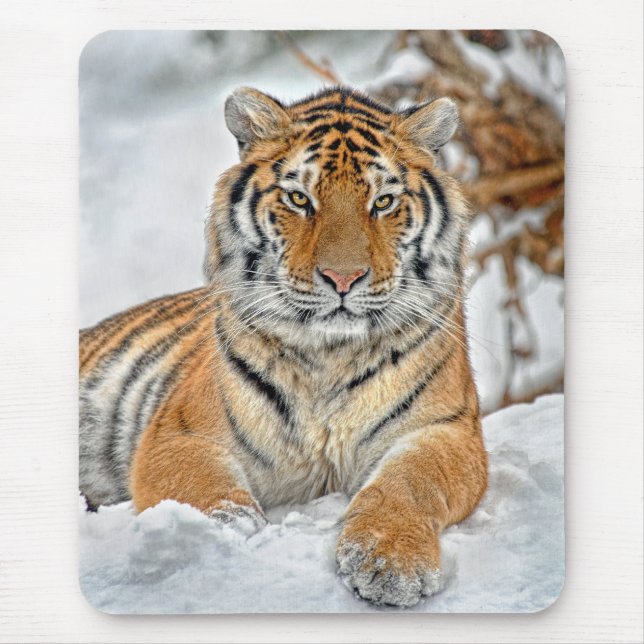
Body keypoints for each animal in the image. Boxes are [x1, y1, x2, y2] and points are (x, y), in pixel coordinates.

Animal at [79, 86, 488, 608]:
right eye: (299, 198)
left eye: (383, 201)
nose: (343, 278)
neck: (330, 356)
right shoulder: (180, 431)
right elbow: (199, 483)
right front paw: (226, 531)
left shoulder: (446, 430)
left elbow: (410, 483)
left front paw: (391, 563)